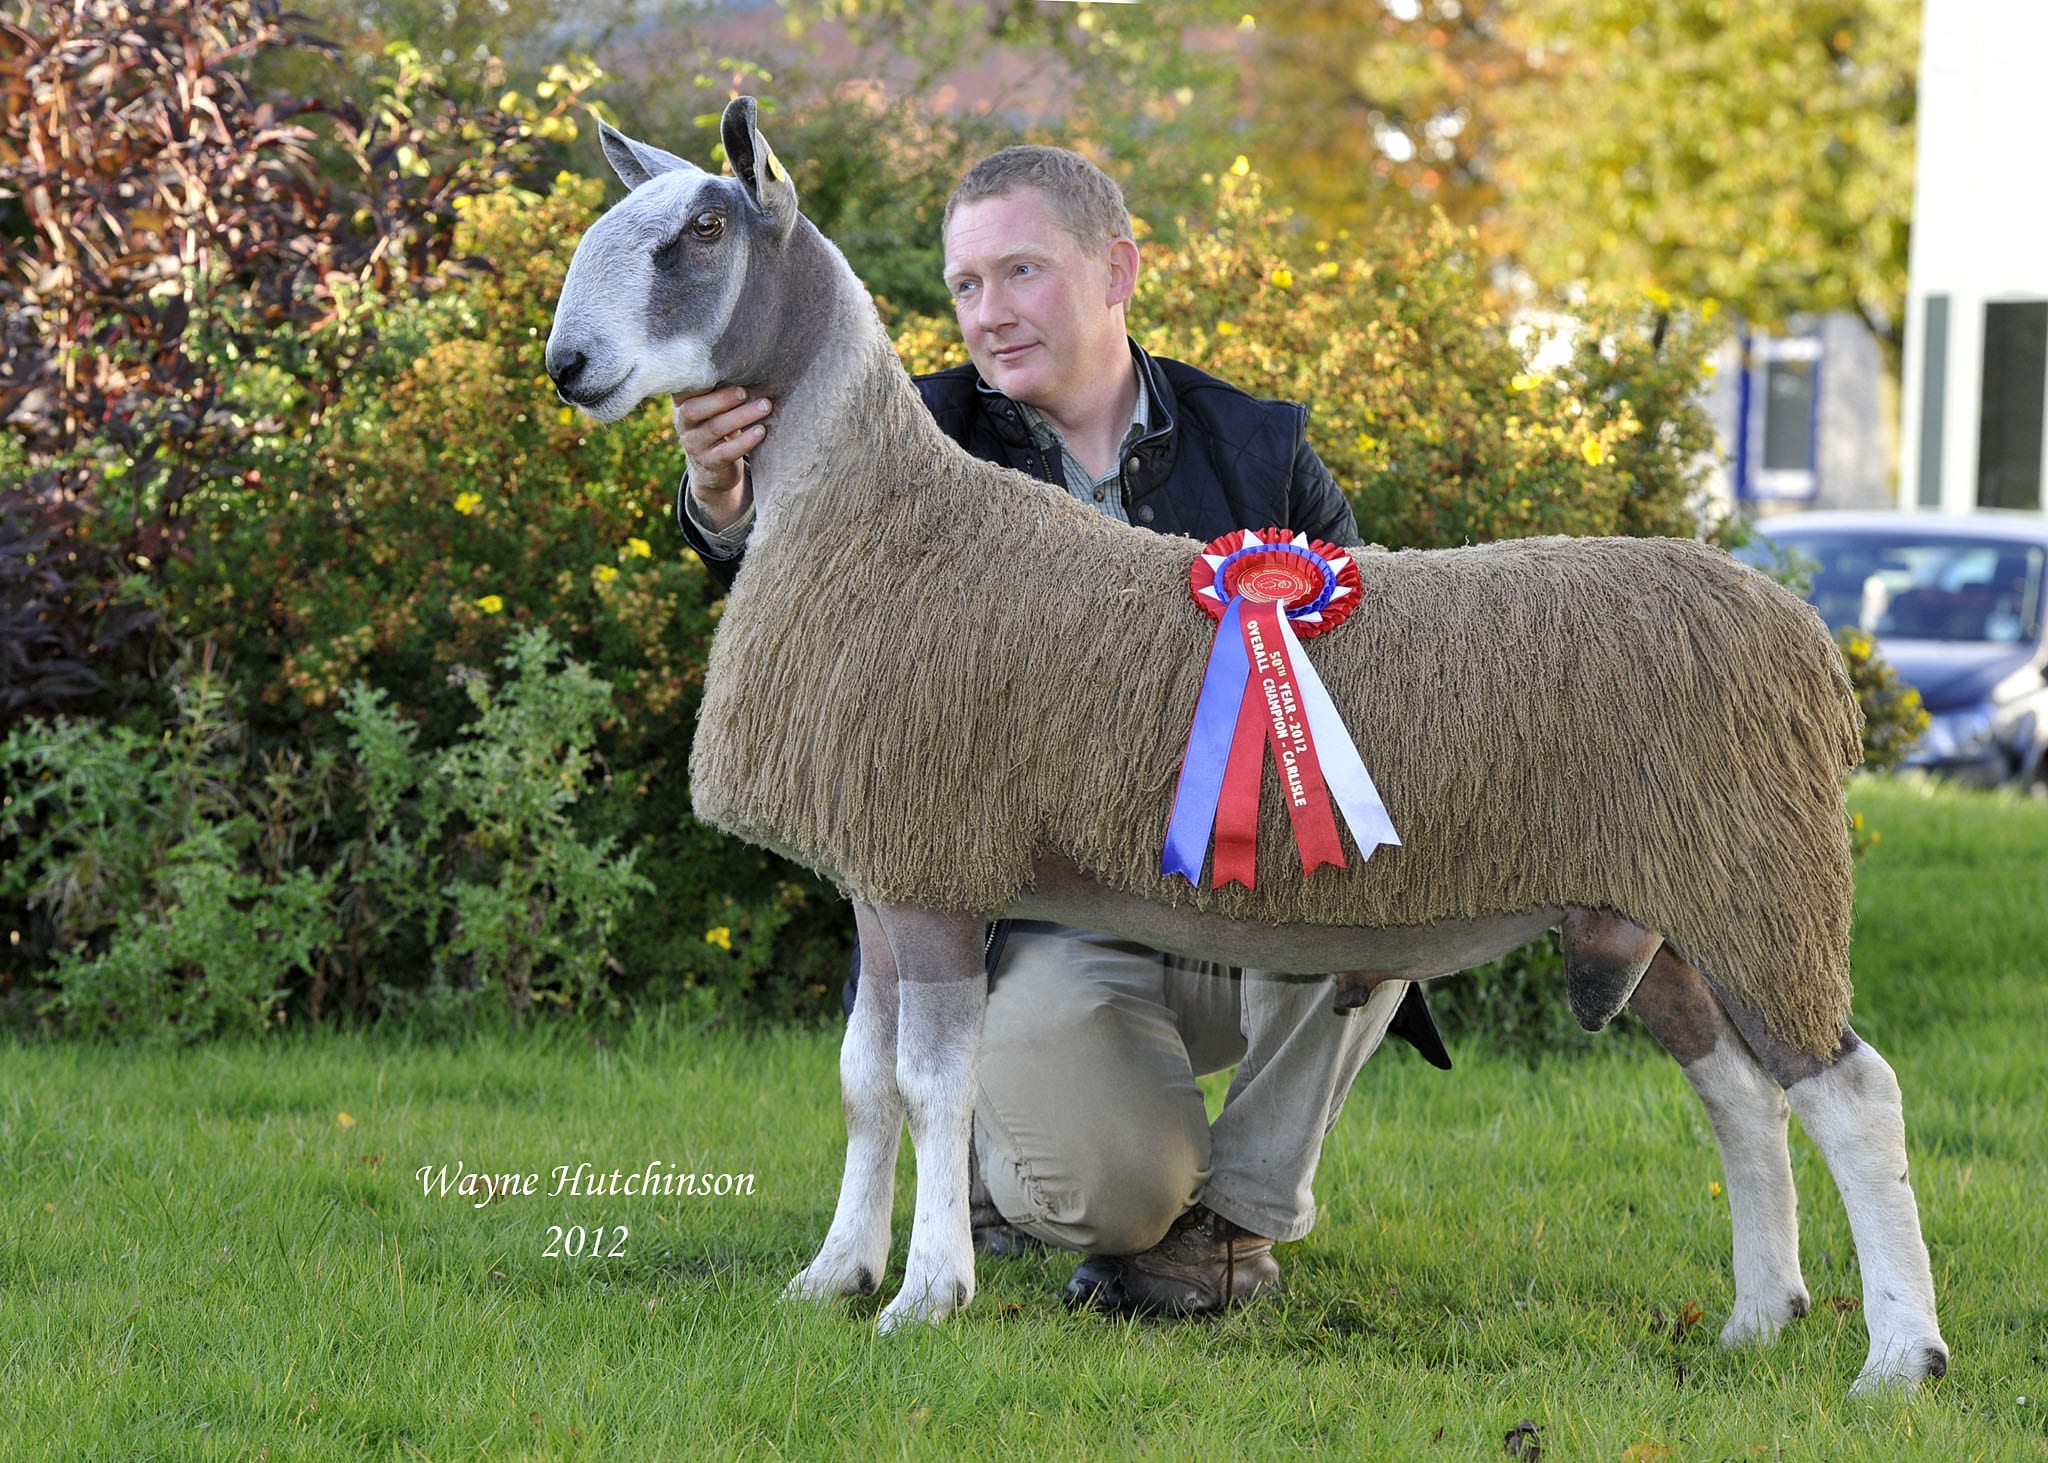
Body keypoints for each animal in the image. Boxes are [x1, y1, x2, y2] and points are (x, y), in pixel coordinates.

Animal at [544, 102, 1949, 1393]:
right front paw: (833, 1273)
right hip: (1655, 903)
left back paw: (1898, 1356)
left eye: (701, 233)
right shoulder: (878, 877)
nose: (565, 364)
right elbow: (861, 1080)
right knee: (1741, 1095)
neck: (871, 512)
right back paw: (1757, 1316)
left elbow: (936, 1085)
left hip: (1753, 879)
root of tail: (1796, 633)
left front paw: (926, 1294)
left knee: (1851, 1091)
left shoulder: (932, 863)